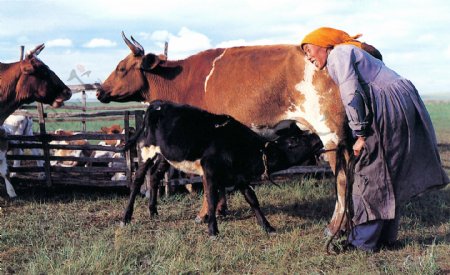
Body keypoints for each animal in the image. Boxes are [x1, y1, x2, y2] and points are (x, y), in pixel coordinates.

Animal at [97, 31, 356, 235]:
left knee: (342, 178)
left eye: (121, 68)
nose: (99, 91)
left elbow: (206, 184)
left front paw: (205, 215)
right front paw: (220, 210)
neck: (181, 81)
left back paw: (336, 227)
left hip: (330, 134)